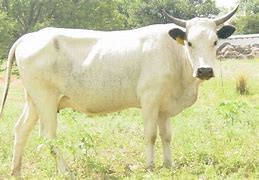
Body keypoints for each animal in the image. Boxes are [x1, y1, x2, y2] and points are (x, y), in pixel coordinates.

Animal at [0, 5, 240, 176]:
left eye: (215, 41)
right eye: (189, 43)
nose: (204, 70)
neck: (175, 56)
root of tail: (30, 36)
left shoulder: (164, 107)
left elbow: (167, 136)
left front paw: (168, 165)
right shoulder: (149, 99)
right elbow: (151, 135)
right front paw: (150, 167)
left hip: (33, 100)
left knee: (21, 129)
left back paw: (16, 171)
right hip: (46, 100)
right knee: (49, 137)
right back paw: (65, 171)